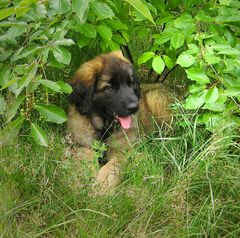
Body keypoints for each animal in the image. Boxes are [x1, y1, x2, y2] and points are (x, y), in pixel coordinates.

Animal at [66, 50, 173, 193]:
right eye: (109, 88)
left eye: (130, 83)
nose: (134, 107)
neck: (104, 127)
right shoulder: (82, 145)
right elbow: (85, 159)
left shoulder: (121, 152)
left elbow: (111, 169)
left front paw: (100, 188)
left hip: (155, 99)